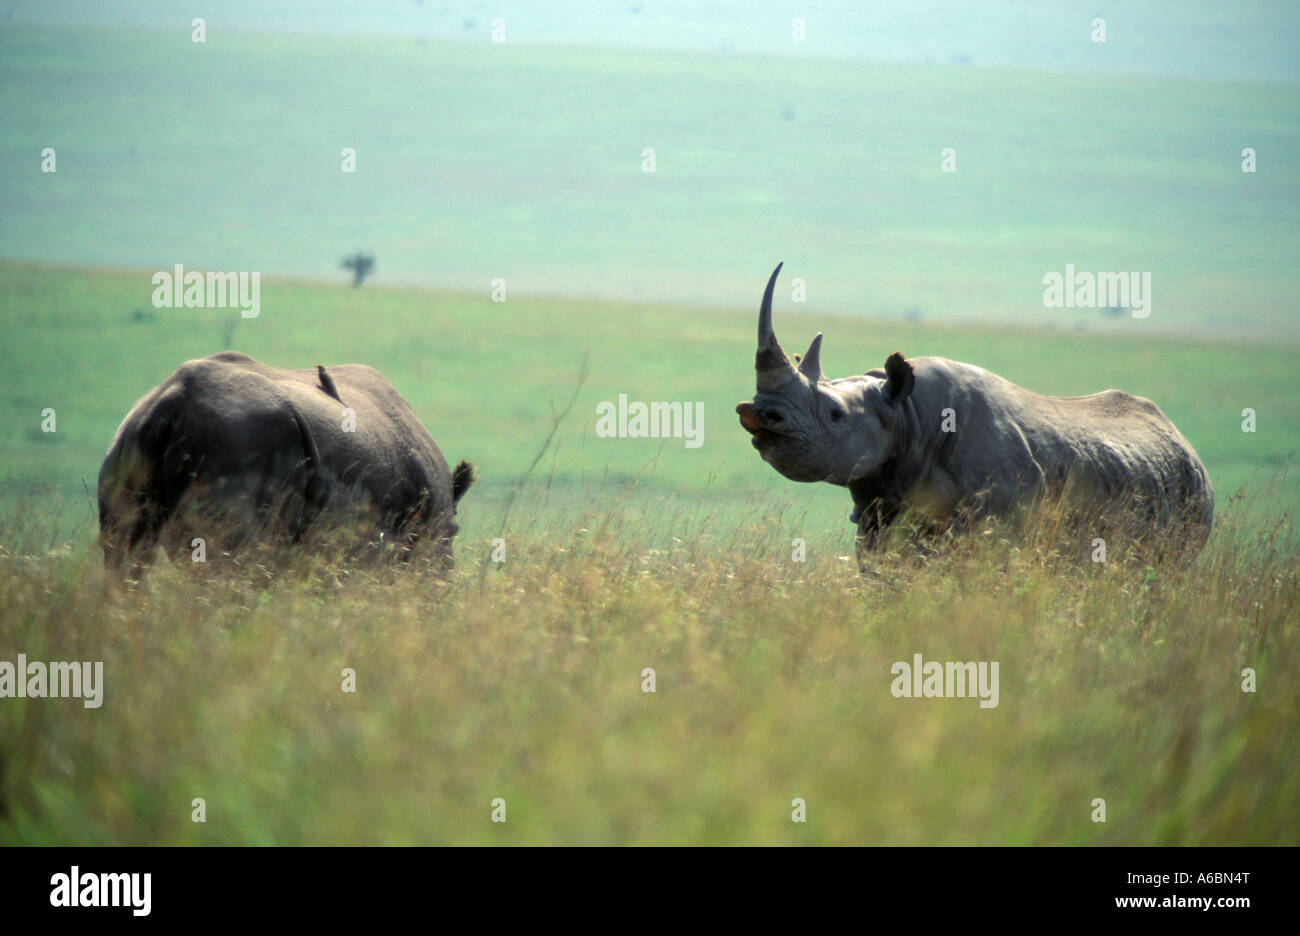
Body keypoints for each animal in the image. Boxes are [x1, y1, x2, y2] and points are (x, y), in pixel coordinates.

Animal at [738, 262, 1211, 556]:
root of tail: (1183, 440)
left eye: (836, 414)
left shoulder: (999, 527)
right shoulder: (878, 515)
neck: (905, 414)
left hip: (1191, 490)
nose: (759, 412)